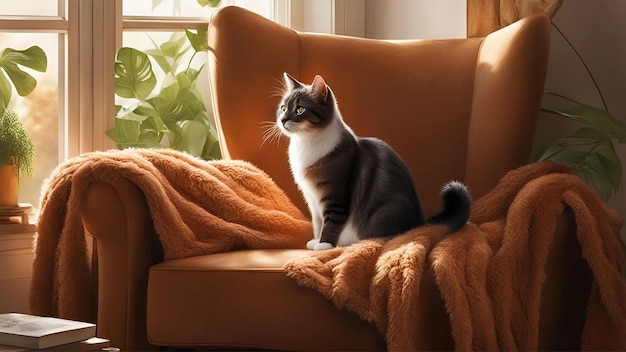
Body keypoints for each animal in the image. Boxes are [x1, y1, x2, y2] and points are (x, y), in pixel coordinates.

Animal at [272, 73, 468, 252]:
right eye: (283, 108)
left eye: (300, 110)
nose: (283, 119)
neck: (305, 143)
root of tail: (420, 222)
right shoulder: (311, 198)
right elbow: (318, 222)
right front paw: (316, 240)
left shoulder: (335, 194)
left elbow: (331, 221)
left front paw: (325, 244)